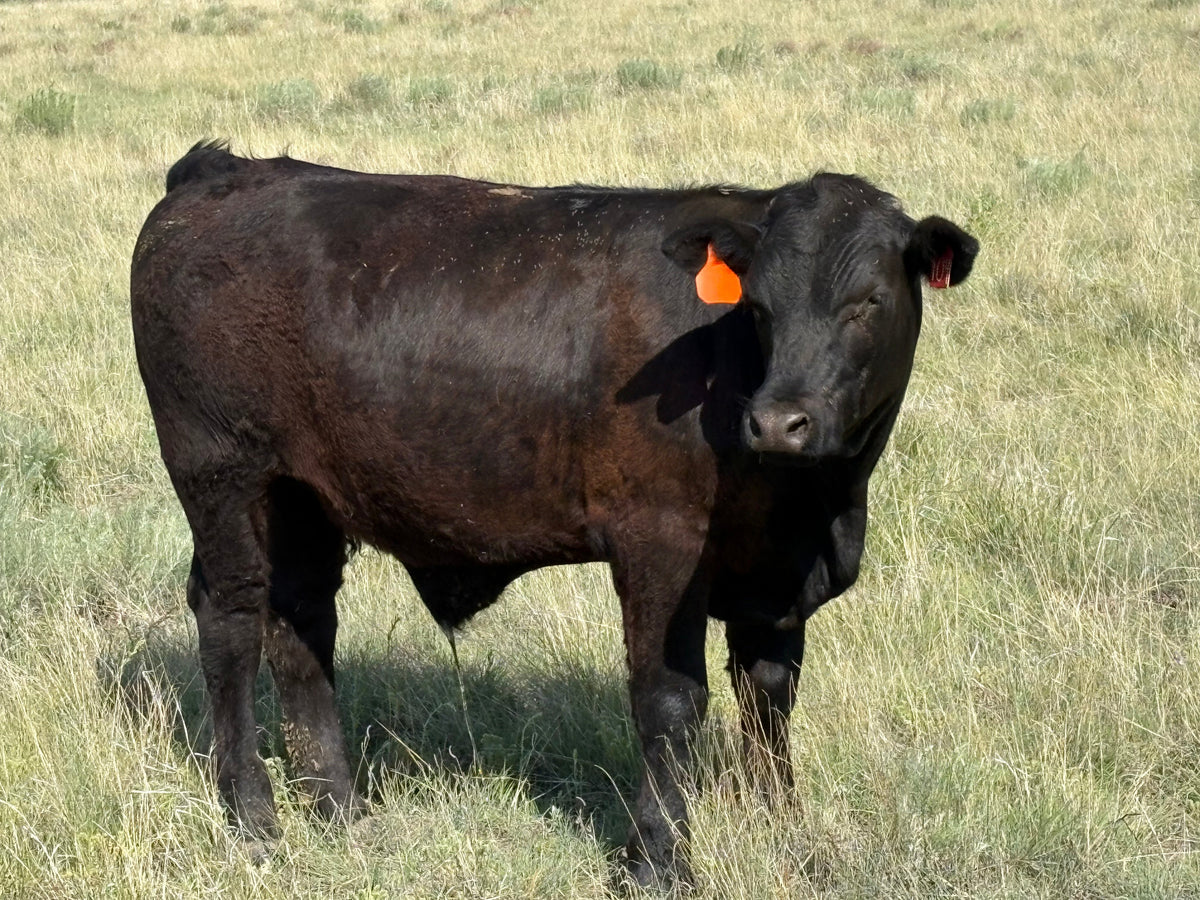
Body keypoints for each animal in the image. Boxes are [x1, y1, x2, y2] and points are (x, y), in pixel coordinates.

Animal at [130, 140, 978, 889]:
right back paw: (254, 820)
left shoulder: (776, 577)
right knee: (232, 622)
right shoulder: (659, 543)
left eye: (868, 302)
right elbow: (669, 701)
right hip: (222, 474)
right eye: (761, 307)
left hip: (301, 497)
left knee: (301, 623)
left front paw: (786, 837)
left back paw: (342, 812)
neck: (815, 505)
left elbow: (769, 701)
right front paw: (658, 862)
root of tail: (223, 173)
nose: (778, 422)